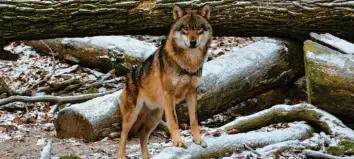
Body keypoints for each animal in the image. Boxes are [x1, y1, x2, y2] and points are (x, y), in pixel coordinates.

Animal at [117, 4, 213, 158]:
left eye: (199, 28)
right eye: (185, 29)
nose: (193, 42)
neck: (189, 63)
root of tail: (127, 78)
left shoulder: (192, 93)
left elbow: (194, 120)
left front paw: (198, 140)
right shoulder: (169, 94)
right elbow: (174, 121)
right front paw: (178, 142)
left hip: (155, 117)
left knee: (142, 135)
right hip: (132, 116)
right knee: (123, 135)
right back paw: (121, 155)